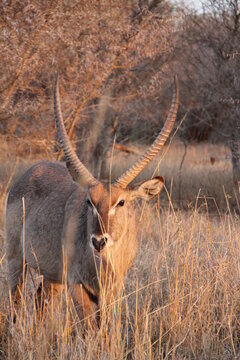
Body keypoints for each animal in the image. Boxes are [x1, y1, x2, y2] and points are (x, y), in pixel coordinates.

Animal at [4, 76, 179, 330]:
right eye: (89, 201)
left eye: (121, 202)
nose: (98, 241)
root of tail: (28, 173)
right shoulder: (77, 286)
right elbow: (90, 330)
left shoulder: (112, 291)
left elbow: (105, 328)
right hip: (16, 260)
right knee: (13, 304)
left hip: (52, 278)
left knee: (39, 303)